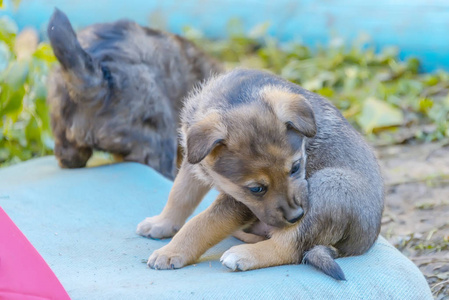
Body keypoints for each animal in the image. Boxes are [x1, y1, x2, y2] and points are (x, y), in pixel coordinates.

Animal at [136, 69, 382, 280]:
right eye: (256, 189)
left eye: (296, 167)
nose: (296, 216)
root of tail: (363, 243)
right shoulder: (193, 163)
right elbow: (180, 195)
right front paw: (162, 223)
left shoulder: (238, 204)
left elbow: (202, 223)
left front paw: (171, 251)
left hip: (331, 183)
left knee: (289, 249)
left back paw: (244, 254)